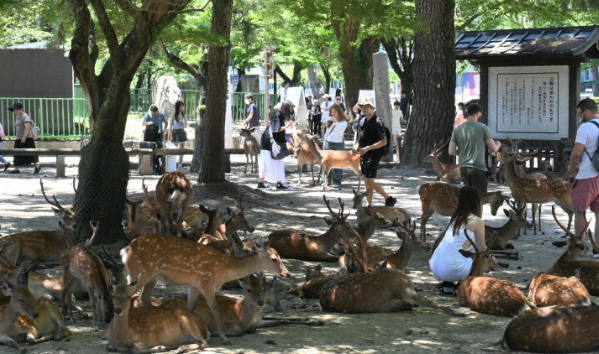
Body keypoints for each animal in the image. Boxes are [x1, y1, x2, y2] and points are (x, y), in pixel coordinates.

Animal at [120, 234, 290, 344]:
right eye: (274, 259)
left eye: (280, 256)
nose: (287, 273)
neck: (224, 271)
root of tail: (125, 250)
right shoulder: (207, 282)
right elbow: (215, 309)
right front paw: (224, 338)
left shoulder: (194, 286)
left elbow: (190, 308)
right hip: (139, 271)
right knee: (129, 295)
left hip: (153, 276)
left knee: (143, 296)